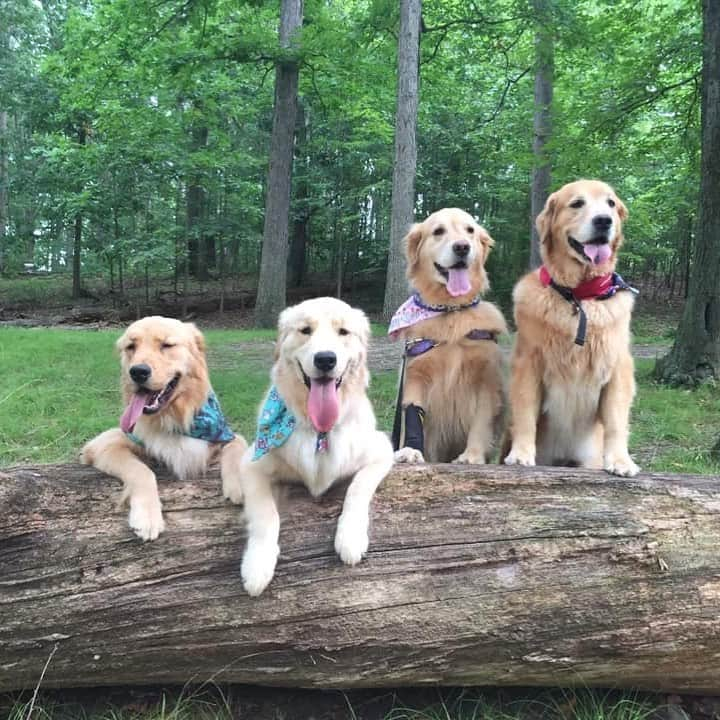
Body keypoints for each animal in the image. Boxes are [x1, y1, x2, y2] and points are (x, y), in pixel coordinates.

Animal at [82, 316, 248, 540]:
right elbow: (141, 470)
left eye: (166, 345)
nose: (138, 372)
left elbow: (239, 444)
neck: (172, 417)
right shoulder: (102, 444)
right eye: (131, 346)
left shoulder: (222, 431)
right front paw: (147, 517)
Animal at [225, 296, 394, 600]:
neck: (319, 430)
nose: (325, 359)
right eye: (305, 330)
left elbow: (358, 489)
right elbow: (266, 514)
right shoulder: (252, 464)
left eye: (343, 332)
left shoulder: (380, 450)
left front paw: (350, 538)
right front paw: (257, 565)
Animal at [388, 207, 506, 466]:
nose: (462, 247)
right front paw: (410, 450)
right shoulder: (415, 374)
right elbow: (413, 417)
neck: (451, 310)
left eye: (470, 230)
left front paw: (471, 456)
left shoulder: (486, 379)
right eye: (438, 231)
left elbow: (481, 421)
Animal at [504, 178, 640, 476]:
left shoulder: (618, 368)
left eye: (610, 203)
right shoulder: (528, 363)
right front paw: (521, 454)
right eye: (577, 203)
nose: (603, 221)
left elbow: (617, 420)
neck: (579, 295)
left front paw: (621, 461)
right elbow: (525, 413)